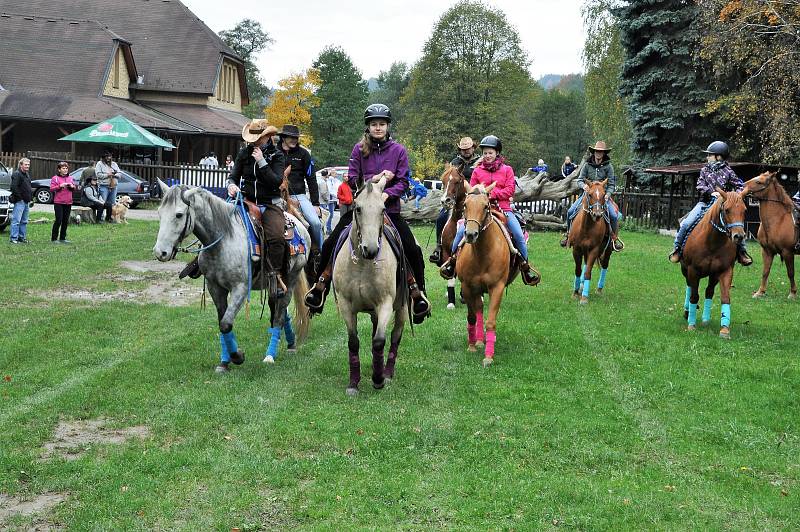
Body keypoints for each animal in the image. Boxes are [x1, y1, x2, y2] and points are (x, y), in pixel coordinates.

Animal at [154, 181, 312, 372]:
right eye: (160, 213)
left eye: (179, 214)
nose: (160, 252)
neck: (223, 240)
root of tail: (300, 225)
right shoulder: (215, 287)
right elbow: (222, 323)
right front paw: (224, 362)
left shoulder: (240, 288)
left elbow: (226, 324)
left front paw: (237, 356)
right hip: (274, 285)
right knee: (280, 310)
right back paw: (291, 344)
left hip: (291, 277)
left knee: (280, 314)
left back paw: (270, 355)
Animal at [332, 175, 406, 394]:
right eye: (358, 208)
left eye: (383, 209)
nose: (371, 249)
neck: (363, 264)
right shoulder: (346, 305)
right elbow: (353, 342)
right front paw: (353, 383)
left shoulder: (385, 304)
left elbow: (379, 341)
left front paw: (378, 379)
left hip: (402, 308)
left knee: (395, 336)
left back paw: (386, 372)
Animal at [454, 183, 516, 366]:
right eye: (465, 205)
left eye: (485, 206)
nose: (470, 234)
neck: (482, 254)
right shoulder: (467, 287)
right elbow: (472, 317)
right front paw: (472, 346)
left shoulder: (497, 287)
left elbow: (490, 322)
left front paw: (488, 357)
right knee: (479, 309)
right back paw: (480, 340)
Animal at [680, 188, 748, 336]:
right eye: (727, 210)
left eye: (744, 210)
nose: (739, 236)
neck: (712, 243)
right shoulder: (693, 270)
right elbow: (694, 296)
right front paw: (691, 325)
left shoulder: (725, 271)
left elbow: (725, 298)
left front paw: (725, 329)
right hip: (685, 270)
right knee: (689, 287)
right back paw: (687, 312)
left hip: (713, 276)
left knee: (709, 291)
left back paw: (706, 319)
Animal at [740, 171, 796, 300]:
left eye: (758, 182)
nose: (741, 186)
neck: (777, 220)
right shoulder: (767, 251)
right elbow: (765, 271)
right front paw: (760, 292)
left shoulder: (787, 251)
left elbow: (790, 272)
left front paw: (792, 293)